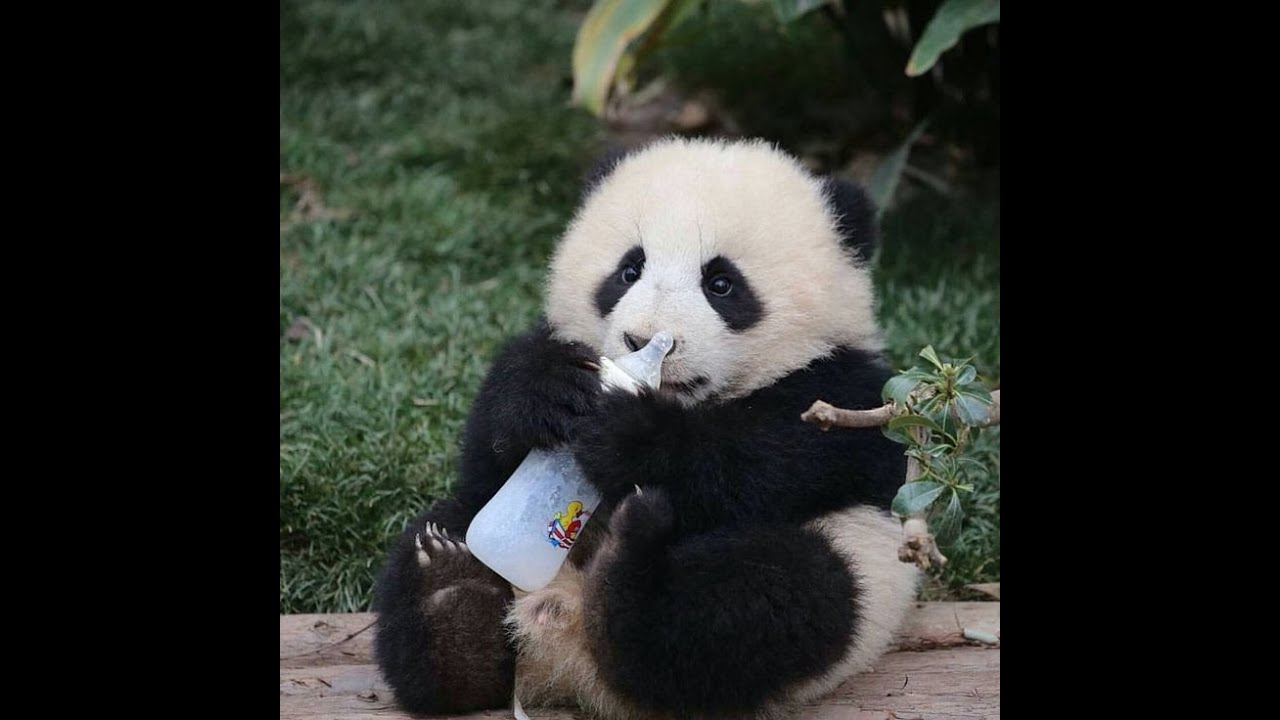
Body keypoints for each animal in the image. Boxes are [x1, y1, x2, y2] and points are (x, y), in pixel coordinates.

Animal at [373, 137, 920, 719]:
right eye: (629, 271)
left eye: (721, 284)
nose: (643, 340)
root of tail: (567, 651)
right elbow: (489, 448)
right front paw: (546, 391)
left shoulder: (845, 391)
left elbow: (769, 462)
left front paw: (629, 435)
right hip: (470, 533)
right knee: (434, 540)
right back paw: (452, 606)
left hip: (856, 566)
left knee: (764, 597)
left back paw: (626, 569)